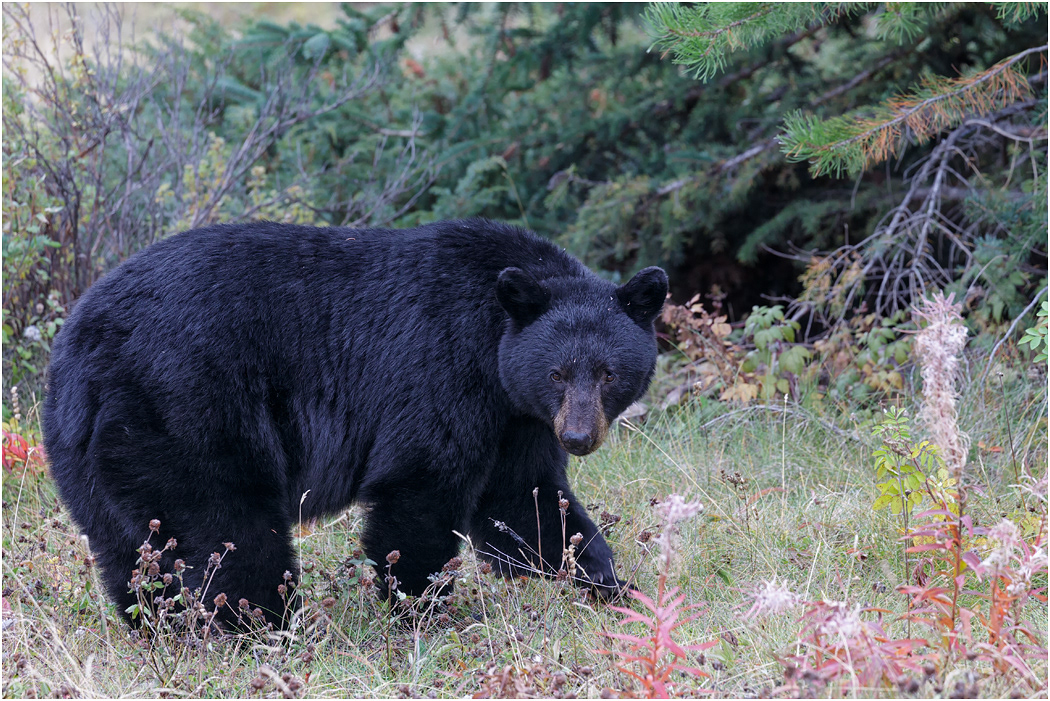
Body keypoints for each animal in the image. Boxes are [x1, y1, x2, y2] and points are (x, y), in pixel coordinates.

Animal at [42, 218, 667, 626]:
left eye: (608, 374)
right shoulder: (443, 368)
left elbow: (527, 504)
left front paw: (617, 588)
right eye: (559, 373)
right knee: (232, 532)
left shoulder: (517, 417)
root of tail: (80, 350)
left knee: (126, 548)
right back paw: (271, 627)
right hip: (186, 410)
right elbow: (419, 491)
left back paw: (161, 626)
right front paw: (423, 612)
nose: (579, 437)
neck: (493, 341)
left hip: (92, 452)